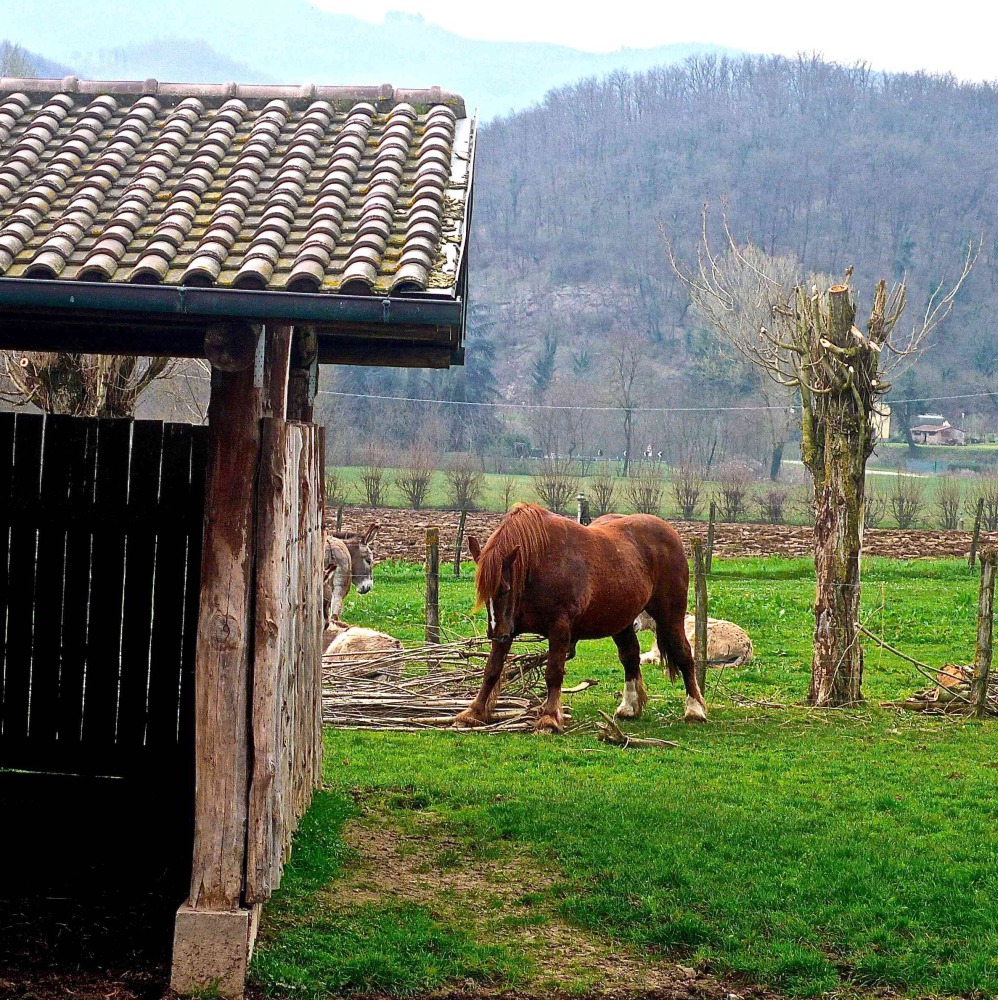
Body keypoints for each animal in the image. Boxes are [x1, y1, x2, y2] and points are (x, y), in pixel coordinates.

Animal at [458, 504, 708, 732]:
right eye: (483, 592)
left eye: (504, 589)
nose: (494, 633)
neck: (538, 564)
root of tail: (670, 532)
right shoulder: (508, 629)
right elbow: (492, 670)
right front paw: (473, 713)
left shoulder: (558, 628)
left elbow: (553, 672)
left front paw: (549, 718)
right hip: (620, 620)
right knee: (630, 655)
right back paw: (629, 707)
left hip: (670, 615)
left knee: (684, 653)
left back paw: (695, 709)